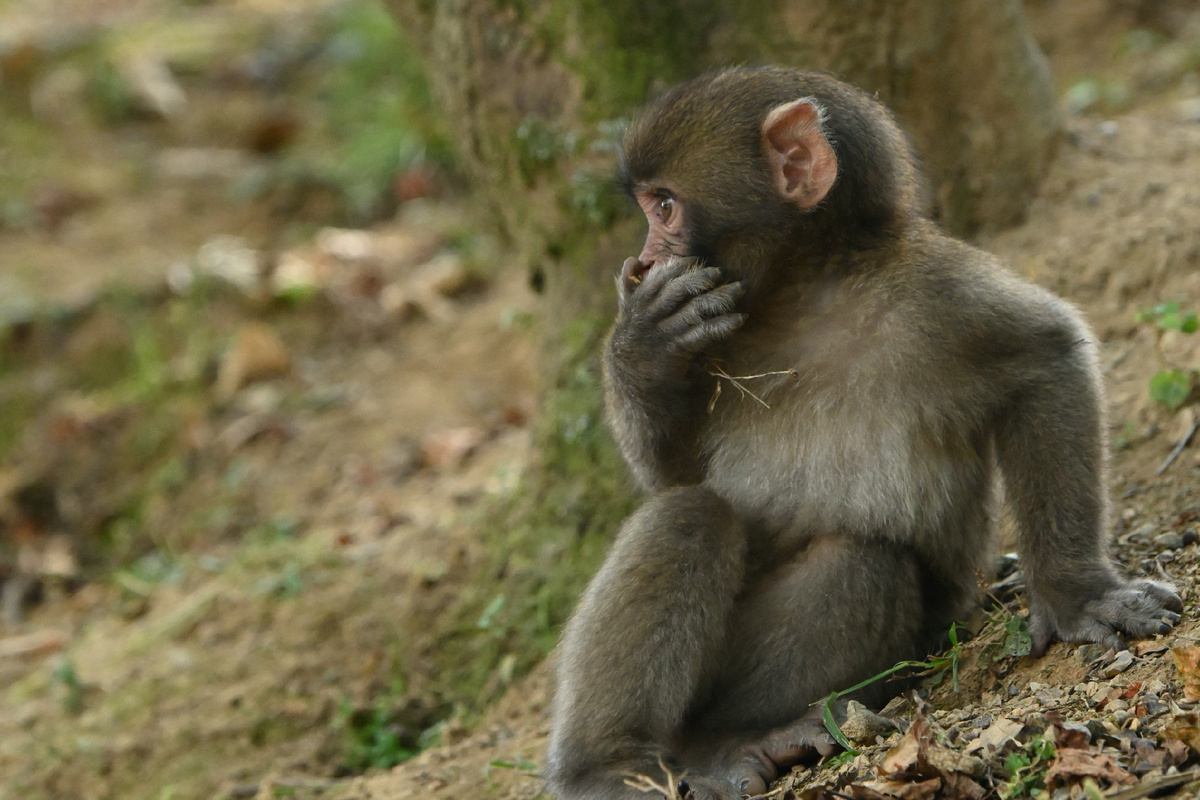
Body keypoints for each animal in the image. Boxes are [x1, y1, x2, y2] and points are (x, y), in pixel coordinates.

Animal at [544, 67, 1180, 800]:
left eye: (665, 205)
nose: (645, 258)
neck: (807, 294)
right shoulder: (716, 341)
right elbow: (673, 477)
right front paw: (642, 349)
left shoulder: (936, 293)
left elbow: (1046, 360)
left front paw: (1079, 593)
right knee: (688, 515)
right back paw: (606, 767)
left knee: (864, 564)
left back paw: (729, 741)